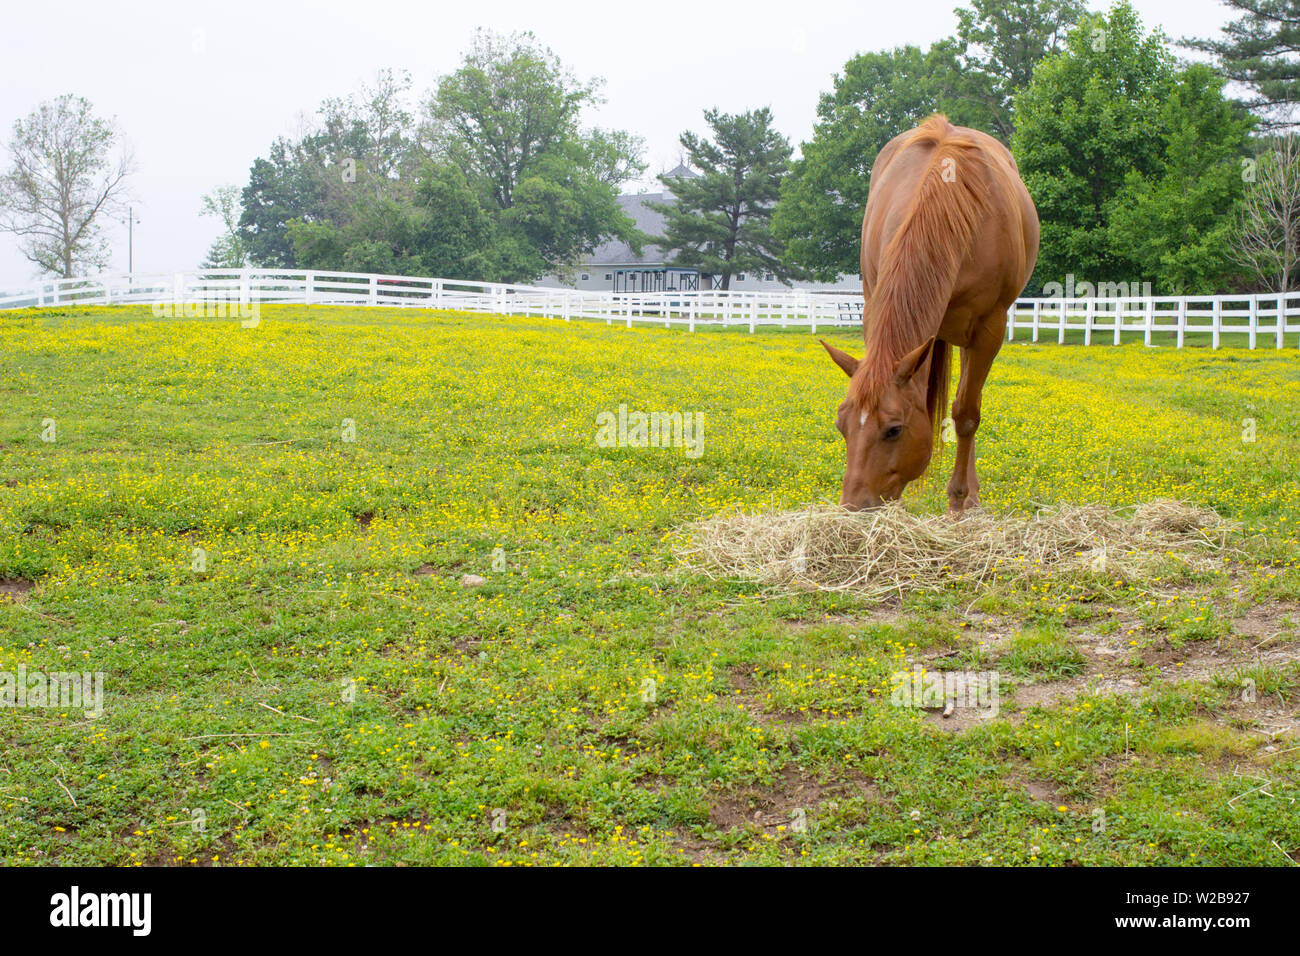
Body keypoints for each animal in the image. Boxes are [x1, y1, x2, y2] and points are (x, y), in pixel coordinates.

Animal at [816, 115, 1040, 512]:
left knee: (968, 404)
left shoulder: (989, 328)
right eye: (842, 425)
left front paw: (958, 500)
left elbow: (966, 415)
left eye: (894, 430)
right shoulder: (875, 305)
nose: (854, 508)